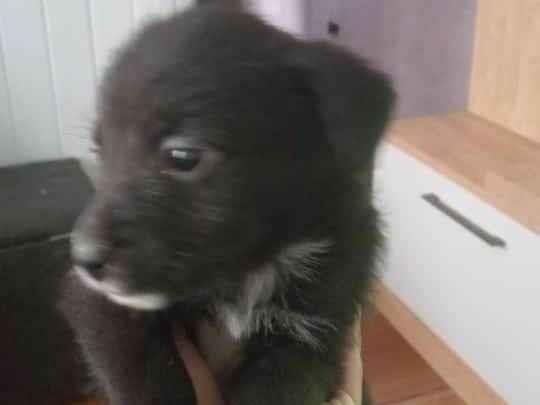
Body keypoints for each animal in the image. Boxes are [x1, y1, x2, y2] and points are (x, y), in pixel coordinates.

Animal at [61, 5, 395, 405]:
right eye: (100, 152)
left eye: (183, 155)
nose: (82, 258)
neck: (245, 271)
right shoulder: (104, 306)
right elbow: (142, 375)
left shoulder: (311, 338)